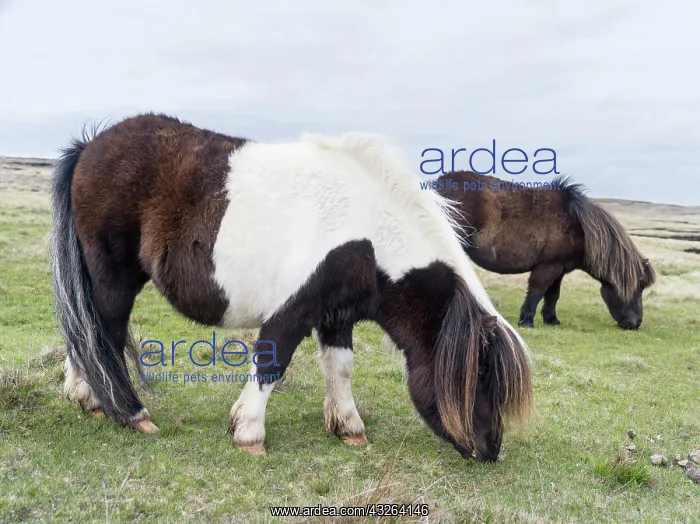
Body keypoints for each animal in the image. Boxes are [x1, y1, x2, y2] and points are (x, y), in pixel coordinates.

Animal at [49, 114, 532, 461]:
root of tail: (90, 147)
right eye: (480, 375)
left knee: (90, 333)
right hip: (114, 276)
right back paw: (130, 413)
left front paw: (349, 429)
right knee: (105, 332)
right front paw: (248, 433)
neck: (368, 232)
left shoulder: (337, 315)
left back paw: (87, 398)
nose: (490, 450)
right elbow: (271, 363)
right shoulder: (293, 309)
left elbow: (340, 367)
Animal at [433, 170, 656, 330]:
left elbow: (553, 294)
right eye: (639, 287)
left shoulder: (559, 269)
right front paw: (527, 321)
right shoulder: (547, 267)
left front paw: (551, 319)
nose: (635, 324)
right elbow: (537, 291)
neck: (579, 226)